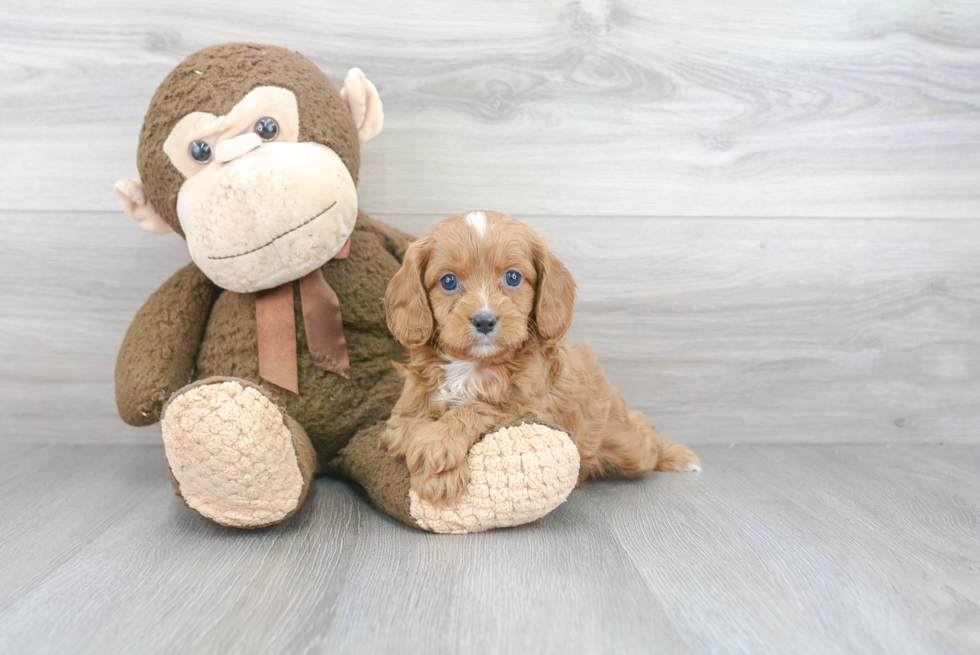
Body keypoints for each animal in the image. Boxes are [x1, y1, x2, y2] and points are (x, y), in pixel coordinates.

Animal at [382, 210, 696, 508]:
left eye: (513, 277)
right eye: (448, 281)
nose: (484, 320)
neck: (473, 365)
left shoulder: (531, 410)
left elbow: (477, 407)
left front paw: (440, 449)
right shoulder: (401, 418)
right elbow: (416, 427)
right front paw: (437, 468)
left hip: (628, 446)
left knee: (644, 435)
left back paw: (678, 455)